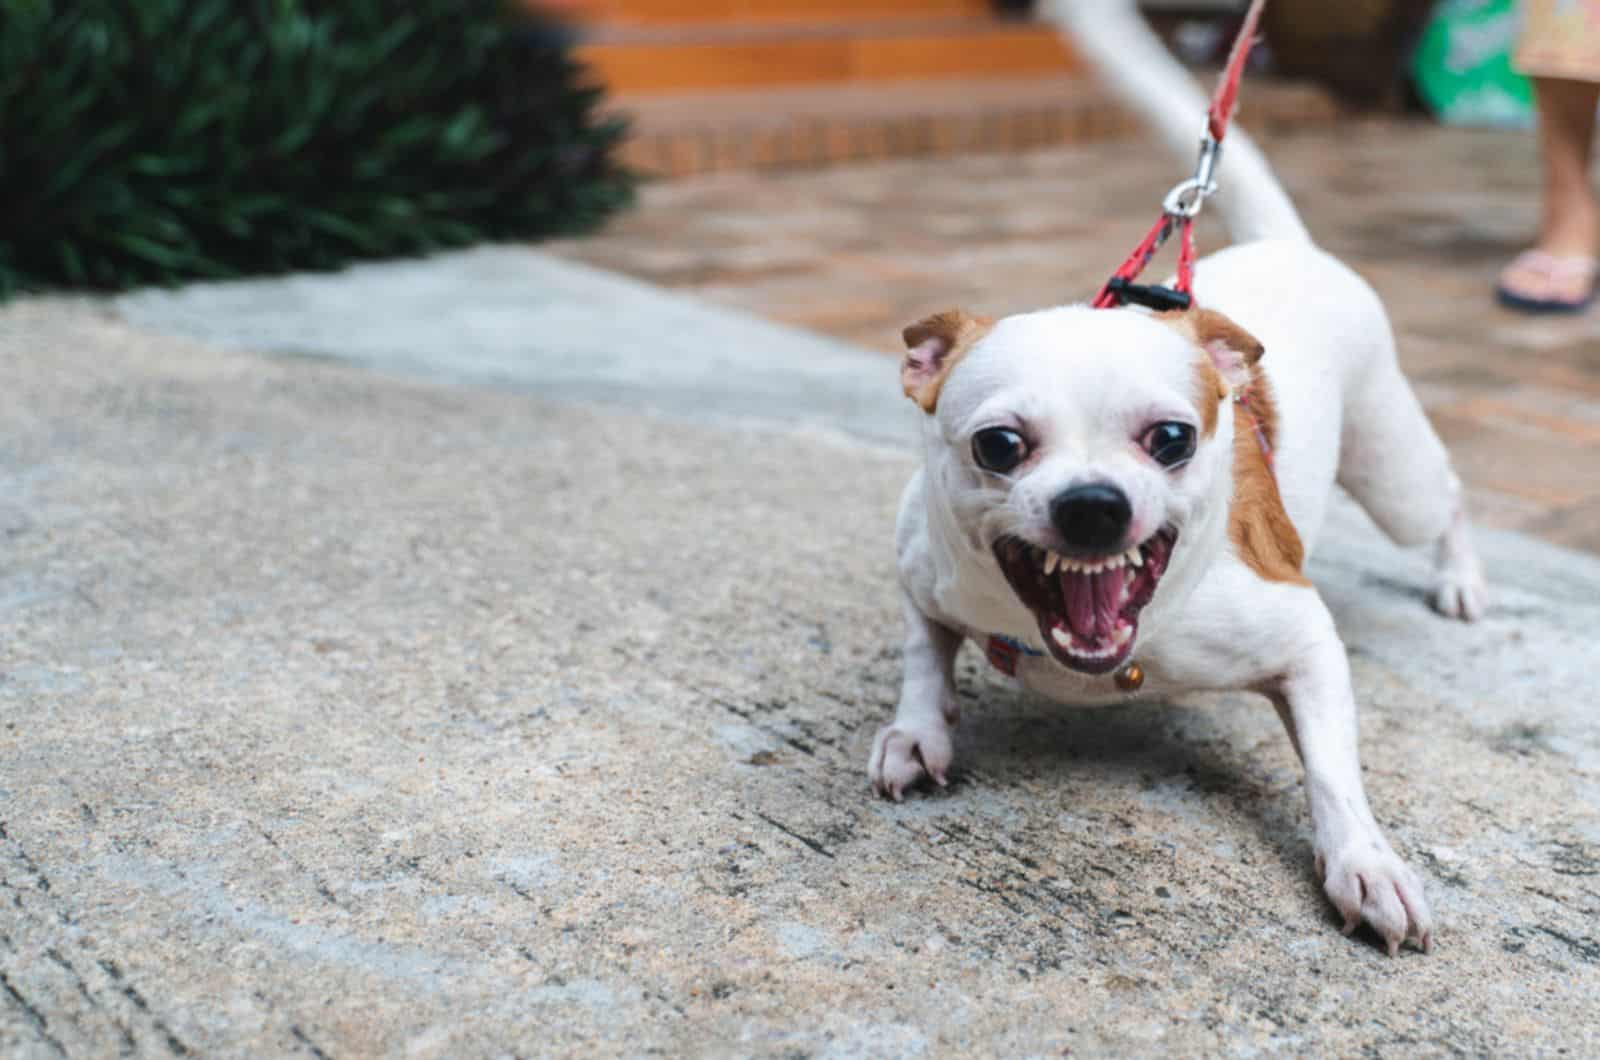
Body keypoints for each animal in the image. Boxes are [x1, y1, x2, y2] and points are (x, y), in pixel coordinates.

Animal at [876, 0, 1484, 960]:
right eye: (1000, 446)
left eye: (1171, 439)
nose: (1093, 505)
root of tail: (1289, 245)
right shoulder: (919, 570)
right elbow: (922, 653)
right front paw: (916, 731)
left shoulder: (1302, 638)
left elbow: (1333, 771)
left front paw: (1366, 864)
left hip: (1394, 473)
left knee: (1447, 494)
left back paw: (1460, 578)